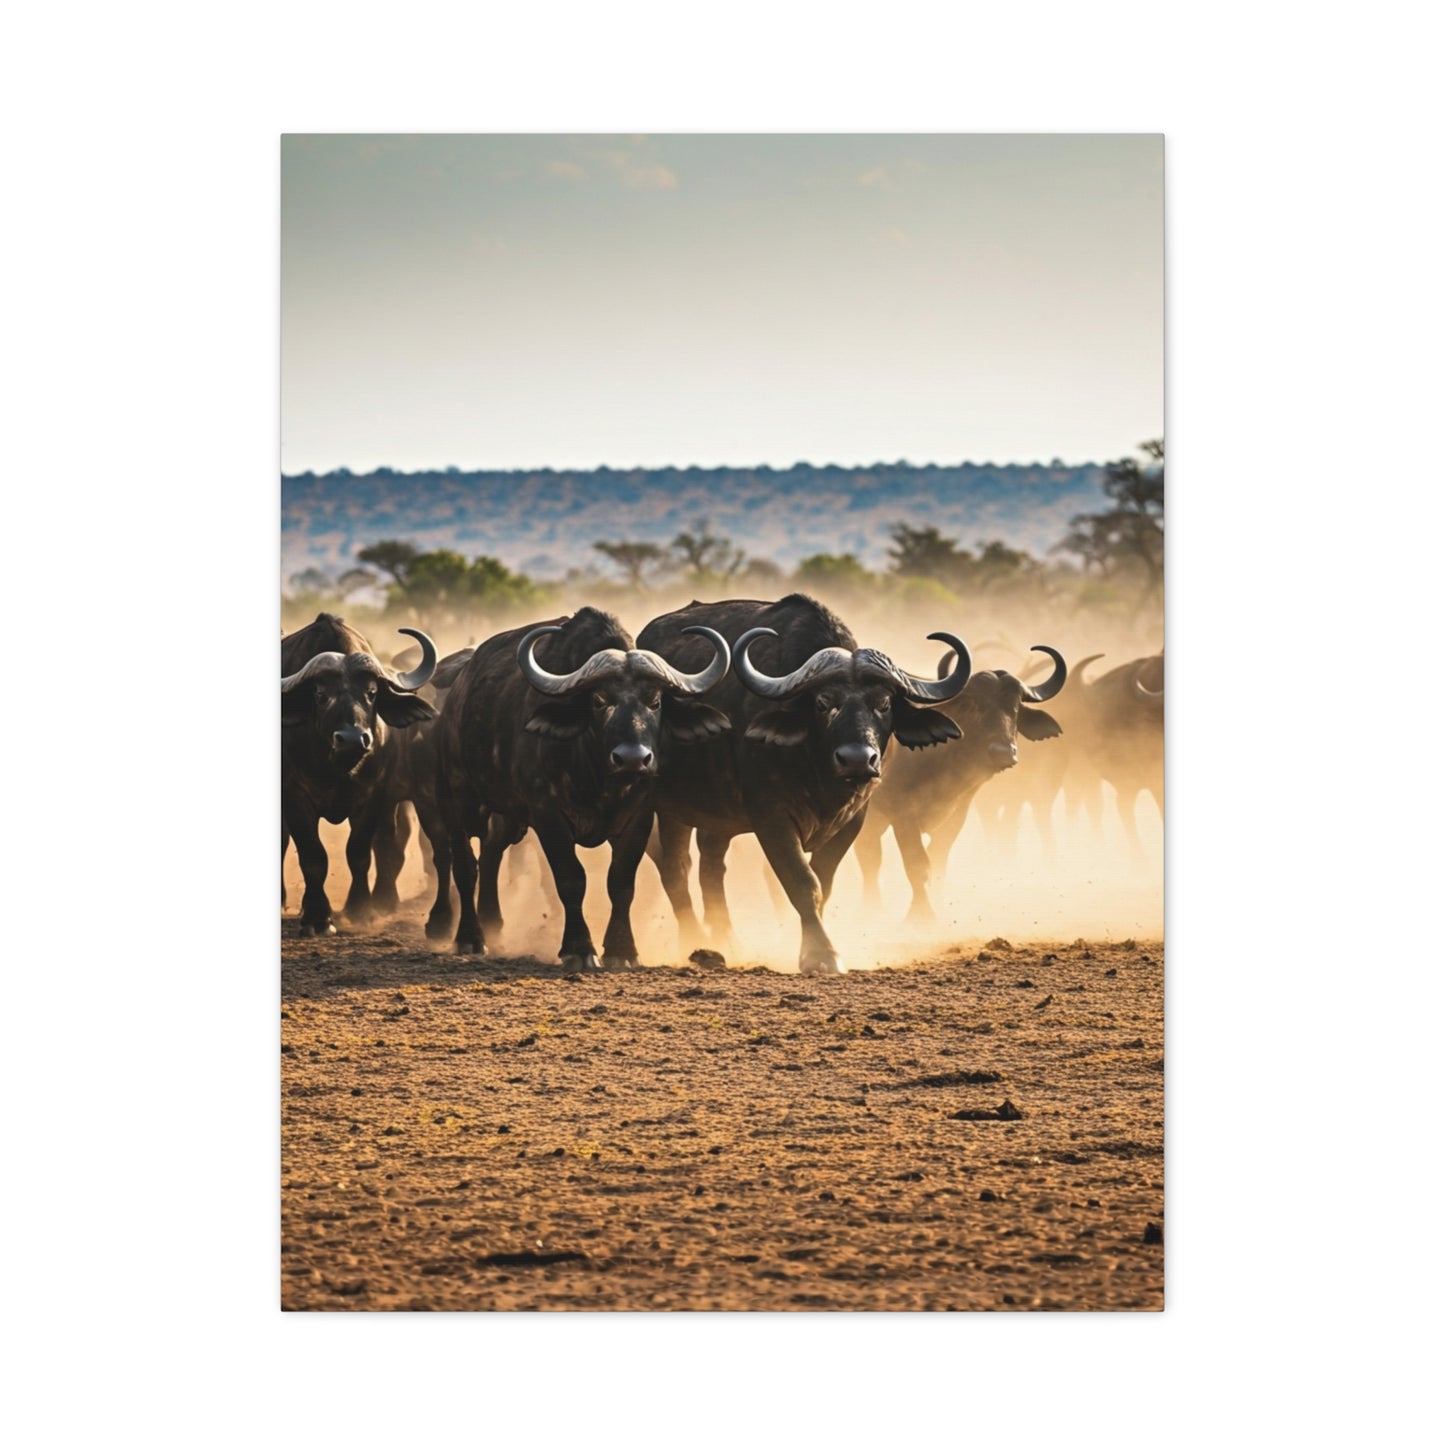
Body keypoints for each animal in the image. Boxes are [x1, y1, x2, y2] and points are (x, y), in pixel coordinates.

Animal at [434, 608, 731, 969]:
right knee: (465, 865)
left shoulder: (640, 816)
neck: (598, 776)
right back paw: (471, 938)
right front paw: (579, 948)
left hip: (509, 816)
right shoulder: (548, 814)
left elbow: (621, 881)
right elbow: (571, 878)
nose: (633, 758)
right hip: (456, 798)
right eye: (599, 700)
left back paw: (494, 927)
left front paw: (622, 950)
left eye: (656, 701)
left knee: (491, 853)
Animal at [637, 594, 972, 975]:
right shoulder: (771, 818)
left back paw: (725, 940)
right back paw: (694, 941)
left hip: (717, 815)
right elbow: (801, 881)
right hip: (668, 807)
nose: (858, 759)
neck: (822, 778)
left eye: (884, 703)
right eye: (824, 702)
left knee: (711, 866)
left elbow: (822, 882)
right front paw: (821, 954)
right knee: (675, 868)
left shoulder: (853, 820)